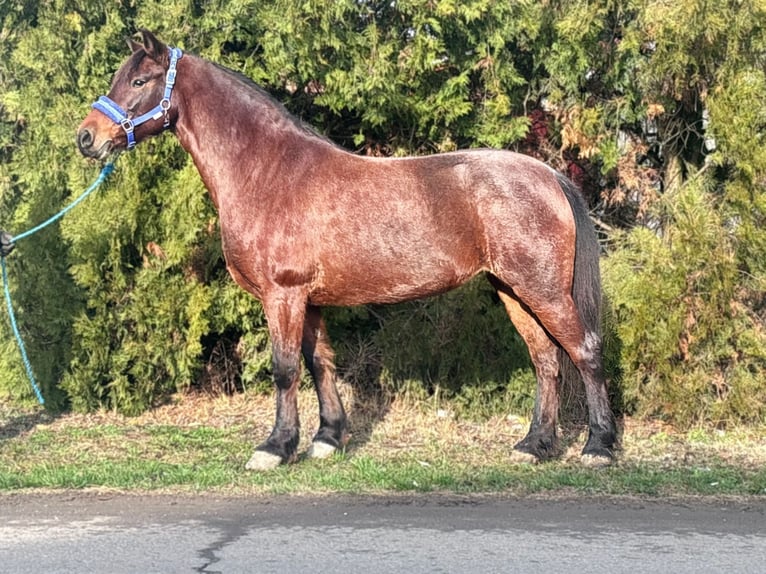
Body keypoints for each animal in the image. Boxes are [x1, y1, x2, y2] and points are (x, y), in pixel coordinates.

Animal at [77, 30, 617, 470]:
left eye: (140, 79)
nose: (87, 137)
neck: (268, 171)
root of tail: (547, 175)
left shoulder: (283, 295)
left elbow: (285, 369)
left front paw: (275, 447)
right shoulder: (308, 300)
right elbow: (320, 363)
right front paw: (327, 439)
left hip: (543, 290)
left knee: (585, 351)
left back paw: (598, 447)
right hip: (513, 290)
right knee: (546, 361)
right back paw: (535, 445)